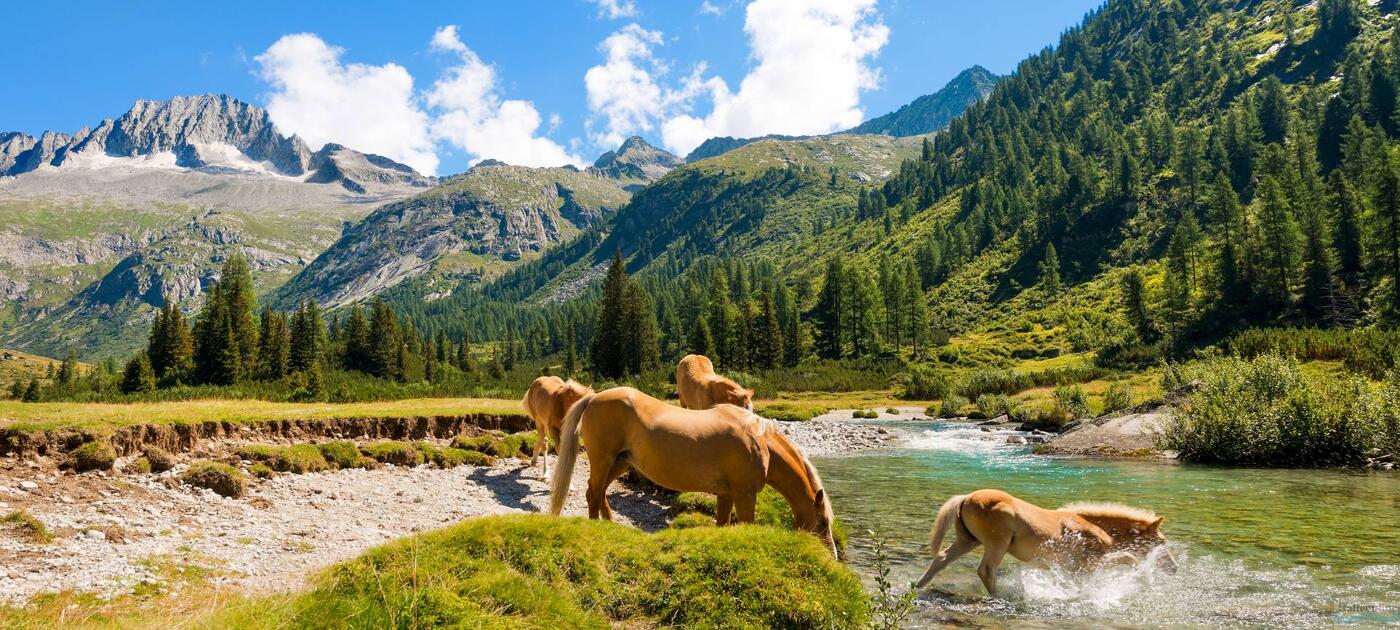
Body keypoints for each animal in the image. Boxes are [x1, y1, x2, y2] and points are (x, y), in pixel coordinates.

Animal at [546, 383, 828, 557]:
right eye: (823, 523)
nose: (830, 554)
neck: (758, 440)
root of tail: (594, 397)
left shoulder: (727, 494)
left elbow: (722, 524)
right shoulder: (745, 494)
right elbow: (747, 524)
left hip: (620, 462)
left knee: (599, 492)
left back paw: (610, 524)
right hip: (604, 460)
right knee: (593, 494)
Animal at [918, 487, 1170, 596]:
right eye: (1161, 542)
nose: (1173, 567)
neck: (1091, 527)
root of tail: (966, 498)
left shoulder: (1070, 568)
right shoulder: (1091, 563)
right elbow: (1129, 558)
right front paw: (1144, 581)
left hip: (969, 540)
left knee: (941, 559)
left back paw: (916, 588)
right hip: (996, 544)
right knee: (986, 570)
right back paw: (1000, 597)